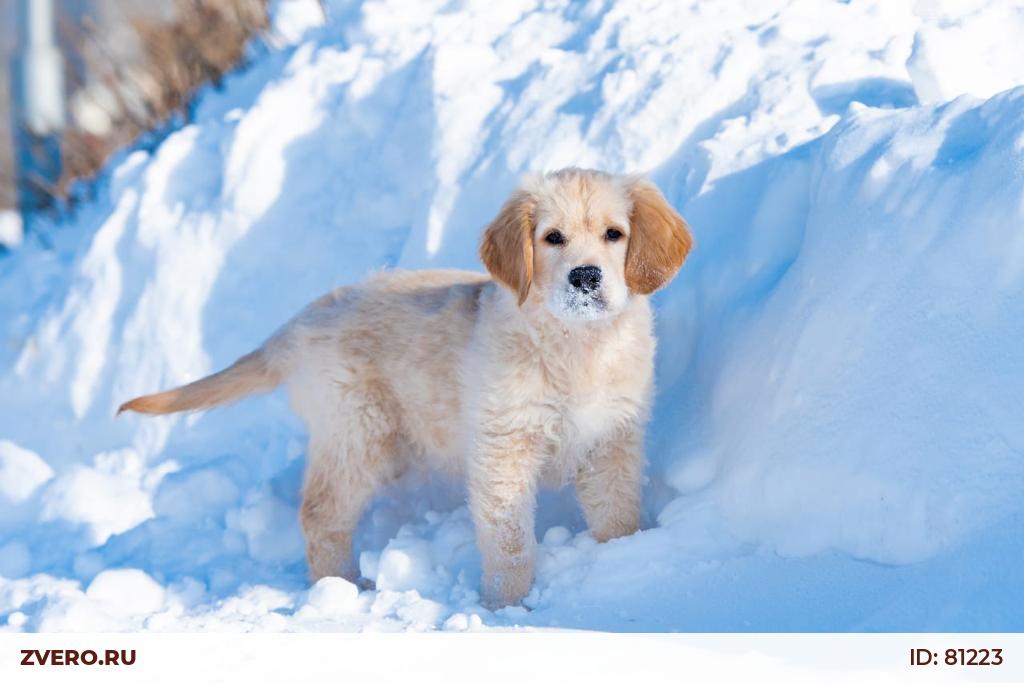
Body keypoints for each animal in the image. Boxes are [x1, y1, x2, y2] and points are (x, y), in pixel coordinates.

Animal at [121, 167, 696, 606]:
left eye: (614, 234)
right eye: (552, 238)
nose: (585, 277)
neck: (574, 345)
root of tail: (300, 322)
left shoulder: (611, 440)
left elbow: (616, 513)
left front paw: (622, 561)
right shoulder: (503, 450)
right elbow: (510, 540)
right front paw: (507, 606)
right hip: (358, 432)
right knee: (321, 514)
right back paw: (341, 588)